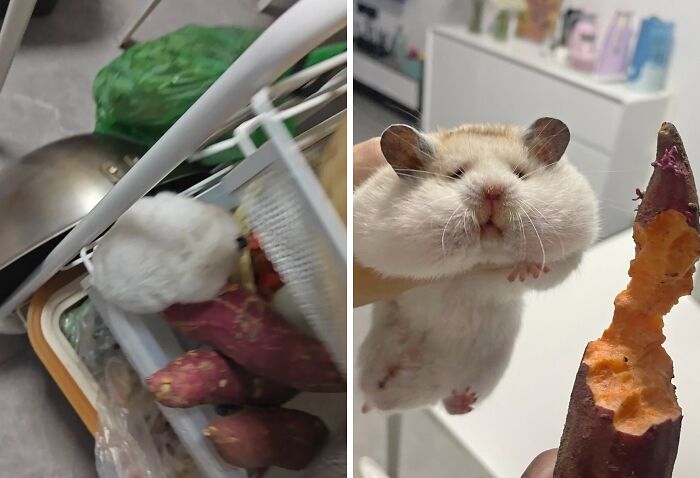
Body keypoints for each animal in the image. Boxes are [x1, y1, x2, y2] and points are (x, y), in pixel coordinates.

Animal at [354, 118, 599, 414]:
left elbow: (549, 271)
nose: (493, 191)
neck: (486, 254)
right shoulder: (385, 242)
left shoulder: (572, 250)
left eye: (520, 173)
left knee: (447, 402)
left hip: (488, 371)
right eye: (456, 174)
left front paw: (525, 268)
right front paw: (466, 229)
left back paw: (462, 399)